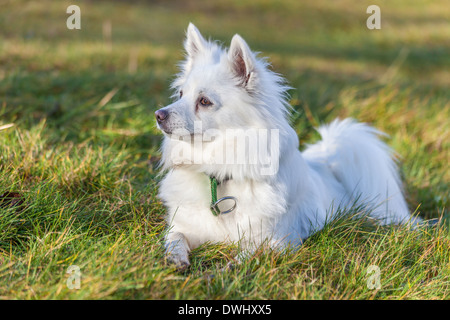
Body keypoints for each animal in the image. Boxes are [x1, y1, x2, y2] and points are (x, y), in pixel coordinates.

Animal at [156, 23, 416, 268]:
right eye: (180, 94)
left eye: (204, 101)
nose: (159, 114)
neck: (218, 169)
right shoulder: (184, 226)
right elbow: (175, 238)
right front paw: (176, 259)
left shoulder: (276, 241)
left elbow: (248, 255)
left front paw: (224, 269)